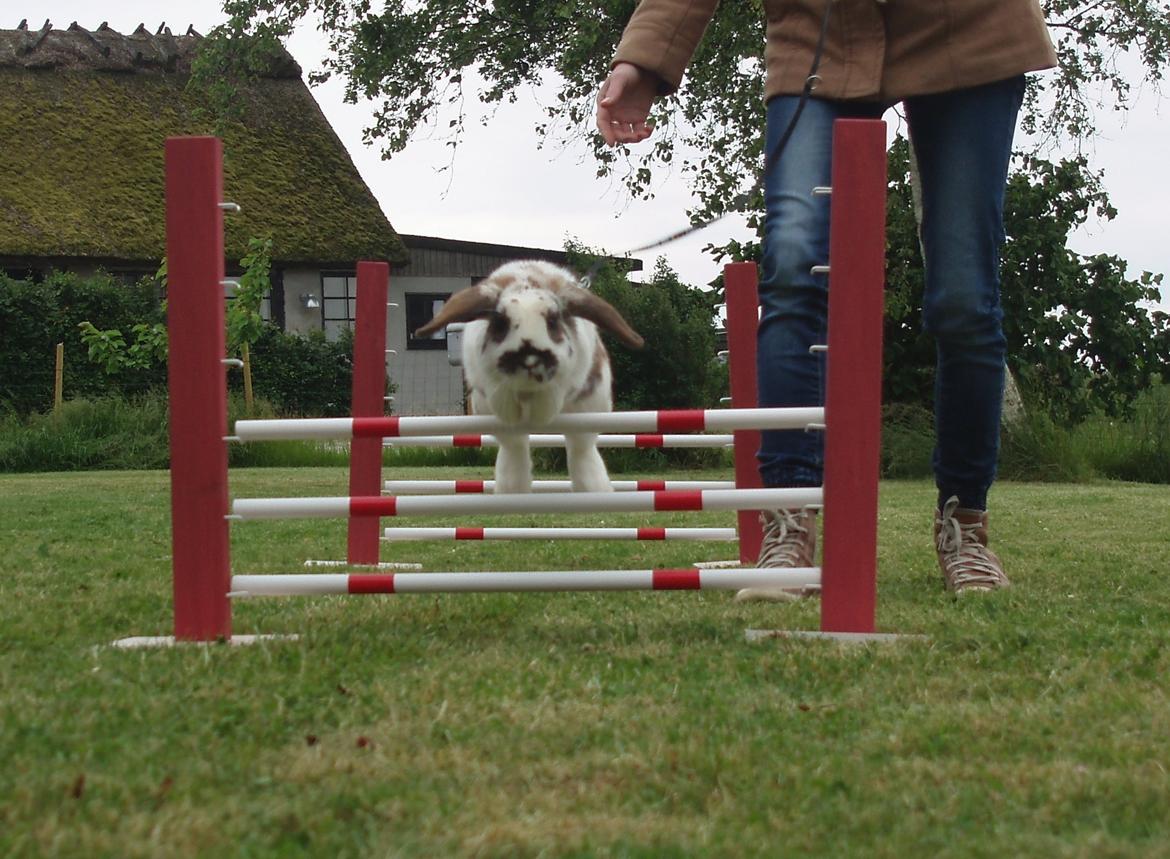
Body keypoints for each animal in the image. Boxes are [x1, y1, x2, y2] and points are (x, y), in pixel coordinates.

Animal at [416, 258, 645, 493]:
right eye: (501, 322)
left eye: (552, 321)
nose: (529, 358)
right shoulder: (489, 389)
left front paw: (540, 413)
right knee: (515, 449)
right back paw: (514, 489)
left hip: (589, 413)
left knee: (580, 449)